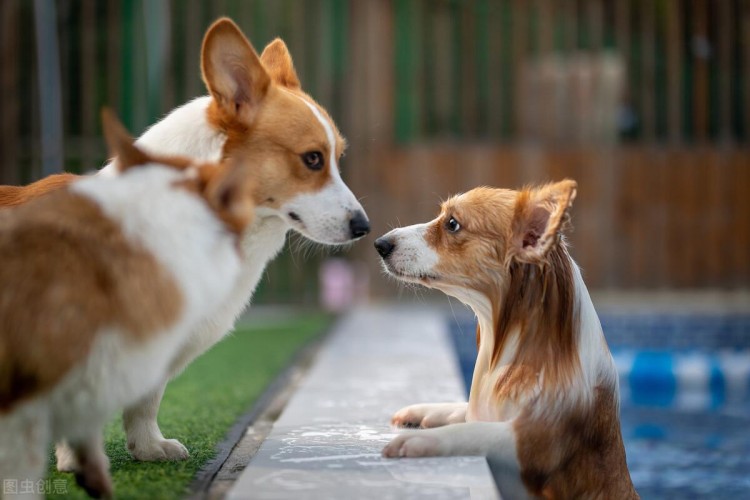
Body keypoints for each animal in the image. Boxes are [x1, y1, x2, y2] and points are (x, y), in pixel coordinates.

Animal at [376, 181, 640, 500]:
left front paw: (421, 441)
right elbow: (467, 412)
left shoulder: (534, 443)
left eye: (452, 224)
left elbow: (475, 431)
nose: (380, 243)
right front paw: (425, 411)